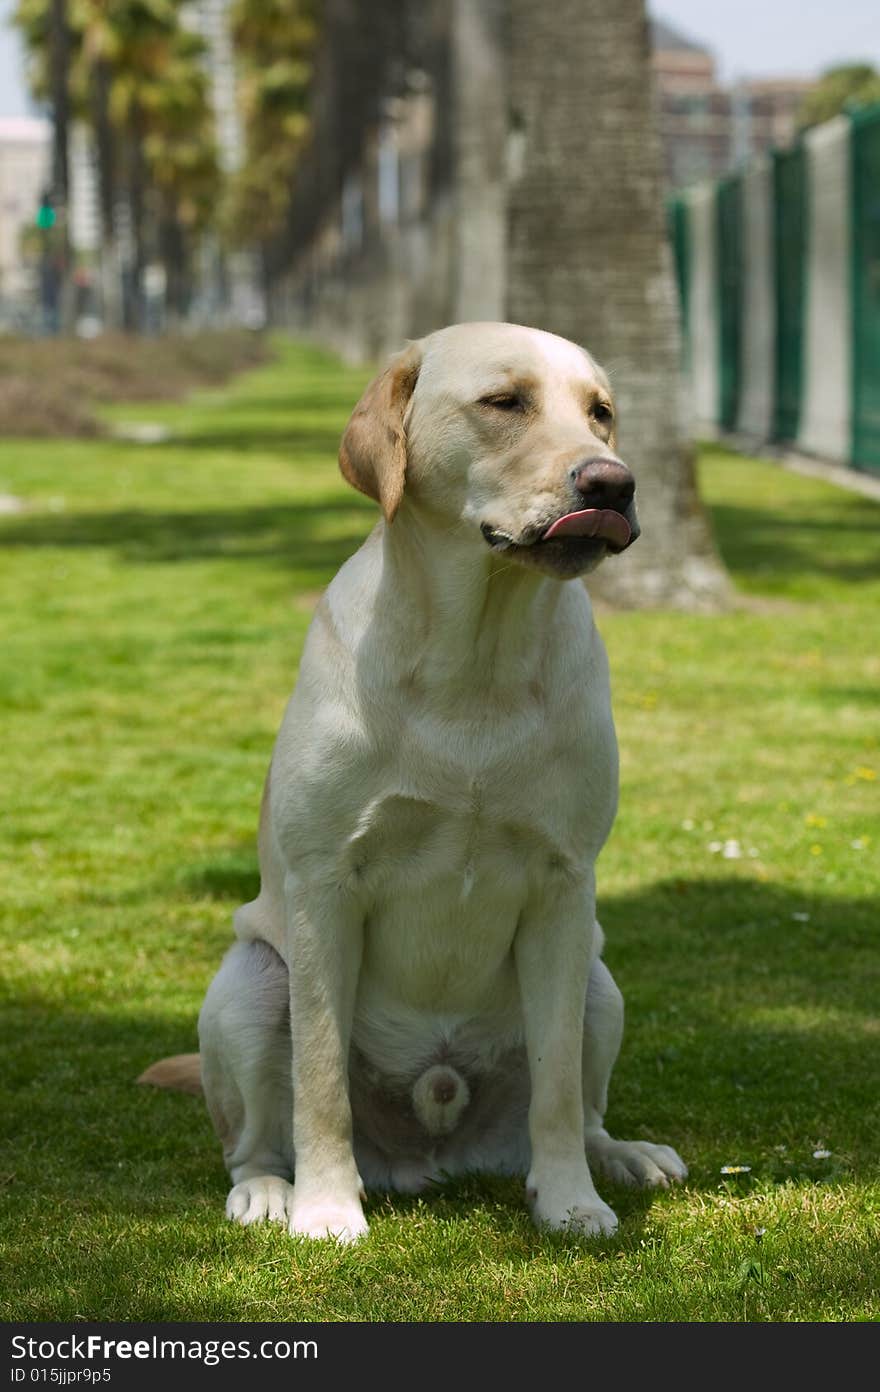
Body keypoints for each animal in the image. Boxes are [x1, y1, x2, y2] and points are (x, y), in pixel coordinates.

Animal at [139, 322, 687, 1241]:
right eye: (504, 402)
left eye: (601, 412)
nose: (612, 482)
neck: (476, 660)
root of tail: (433, 1151)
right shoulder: (326, 887)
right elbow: (320, 1081)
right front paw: (327, 1209)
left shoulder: (564, 888)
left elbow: (556, 1088)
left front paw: (570, 1200)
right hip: (250, 982)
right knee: (253, 1136)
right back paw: (270, 1190)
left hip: (599, 978)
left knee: (581, 1104)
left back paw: (620, 1156)